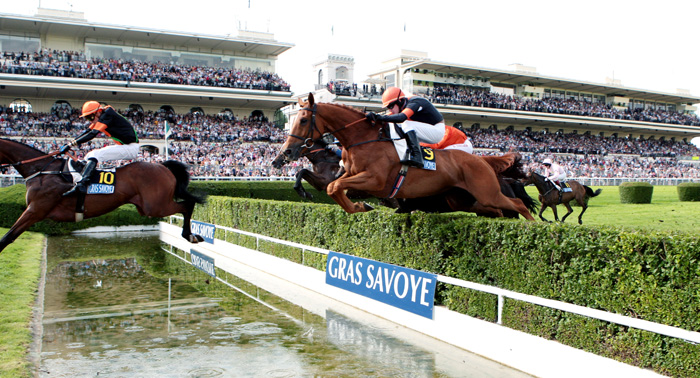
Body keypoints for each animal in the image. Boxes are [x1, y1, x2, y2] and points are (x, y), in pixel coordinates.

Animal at [0, 137, 206, 252]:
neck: (43, 171)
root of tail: (162, 166)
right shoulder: (35, 211)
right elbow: (8, 237)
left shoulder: (35, 210)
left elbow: (7, 238)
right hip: (148, 207)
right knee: (187, 205)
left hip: (155, 206)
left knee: (187, 205)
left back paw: (190, 235)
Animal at [270, 93, 532, 220]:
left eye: (304, 120)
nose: (284, 154)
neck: (362, 139)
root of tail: (483, 159)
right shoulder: (351, 177)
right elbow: (330, 186)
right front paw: (360, 207)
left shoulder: (374, 180)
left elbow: (333, 186)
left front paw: (361, 205)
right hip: (462, 200)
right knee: (501, 210)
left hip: (486, 192)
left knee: (518, 205)